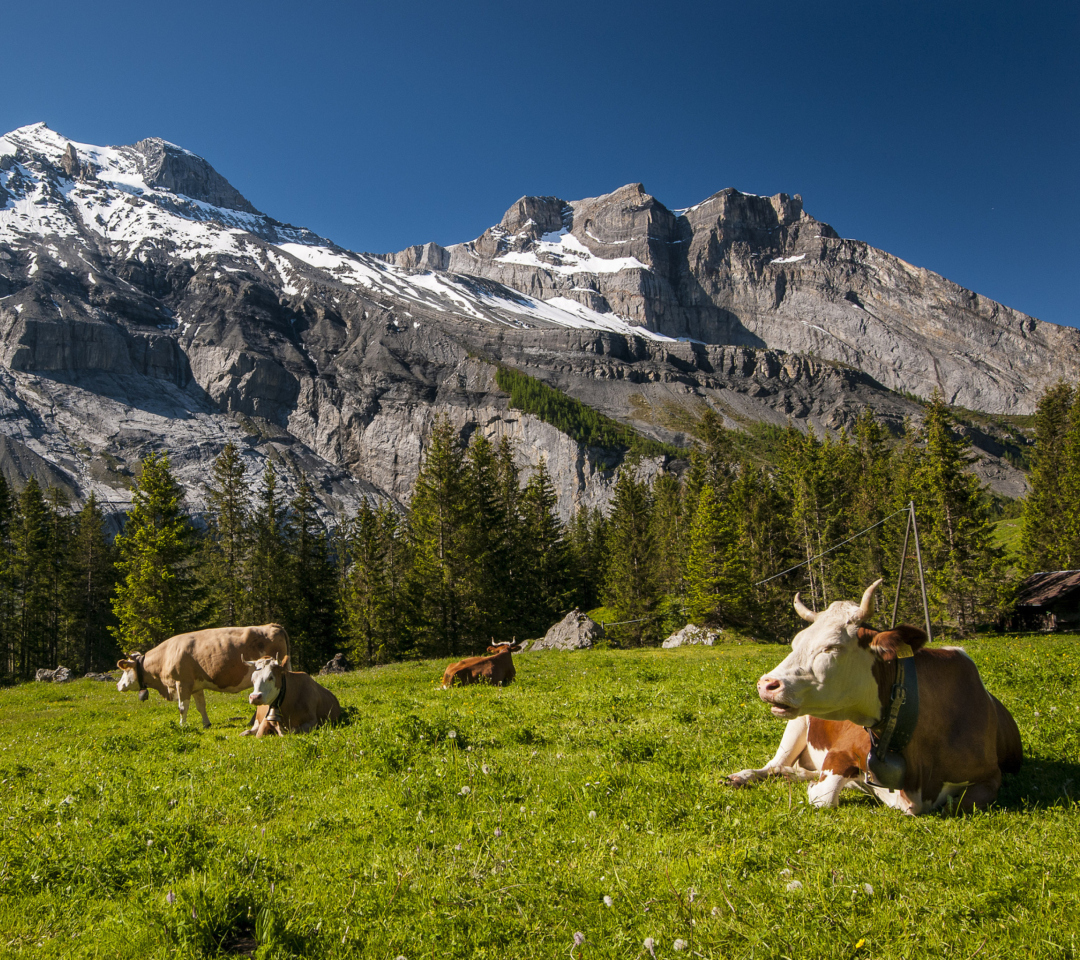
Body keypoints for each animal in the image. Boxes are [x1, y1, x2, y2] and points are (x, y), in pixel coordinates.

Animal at [117, 622, 291, 725]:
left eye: (125, 670)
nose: (118, 685)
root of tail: (272, 625)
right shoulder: (196, 686)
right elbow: (201, 706)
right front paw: (206, 723)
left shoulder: (182, 683)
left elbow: (182, 707)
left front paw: (182, 725)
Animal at [725, 578, 1019, 812]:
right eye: (796, 642)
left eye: (832, 647)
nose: (766, 684)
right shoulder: (841, 751)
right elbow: (824, 797)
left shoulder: (992, 776)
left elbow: (960, 804)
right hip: (797, 725)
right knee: (773, 765)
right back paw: (743, 776)